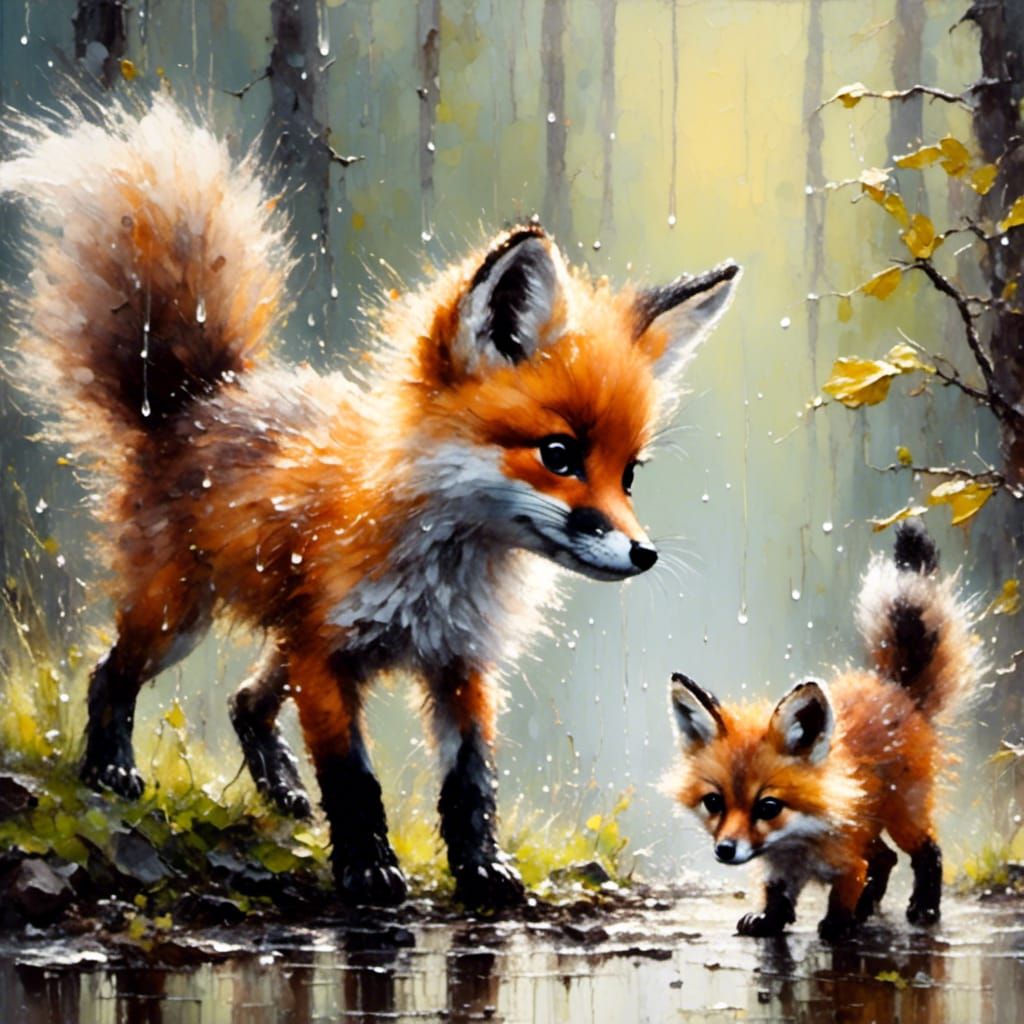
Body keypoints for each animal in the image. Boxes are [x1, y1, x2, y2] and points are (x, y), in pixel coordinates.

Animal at [0, 98, 739, 908]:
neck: (443, 574)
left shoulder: (459, 665)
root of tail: (197, 398)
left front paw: (480, 869)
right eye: (558, 455)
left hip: (274, 636)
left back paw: (278, 787)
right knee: (112, 671)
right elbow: (353, 779)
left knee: (244, 701)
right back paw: (109, 768)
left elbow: (470, 783)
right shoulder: (328, 657)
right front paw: (367, 870)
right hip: (178, 618)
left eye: (629, 474)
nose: (644, 554)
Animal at [667, 519, 978, 941]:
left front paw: (838, 924)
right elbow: (776, 897)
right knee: (886, 859)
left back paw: (923, 908)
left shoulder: (847, 858)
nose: (725, 850)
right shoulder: (780, 869)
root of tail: (895, 688)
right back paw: (871, 907)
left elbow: (845, 889)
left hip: (903, 817)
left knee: (925, 853)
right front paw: (769, 920)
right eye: (714, 802)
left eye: (768, 806)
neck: (797, 844)